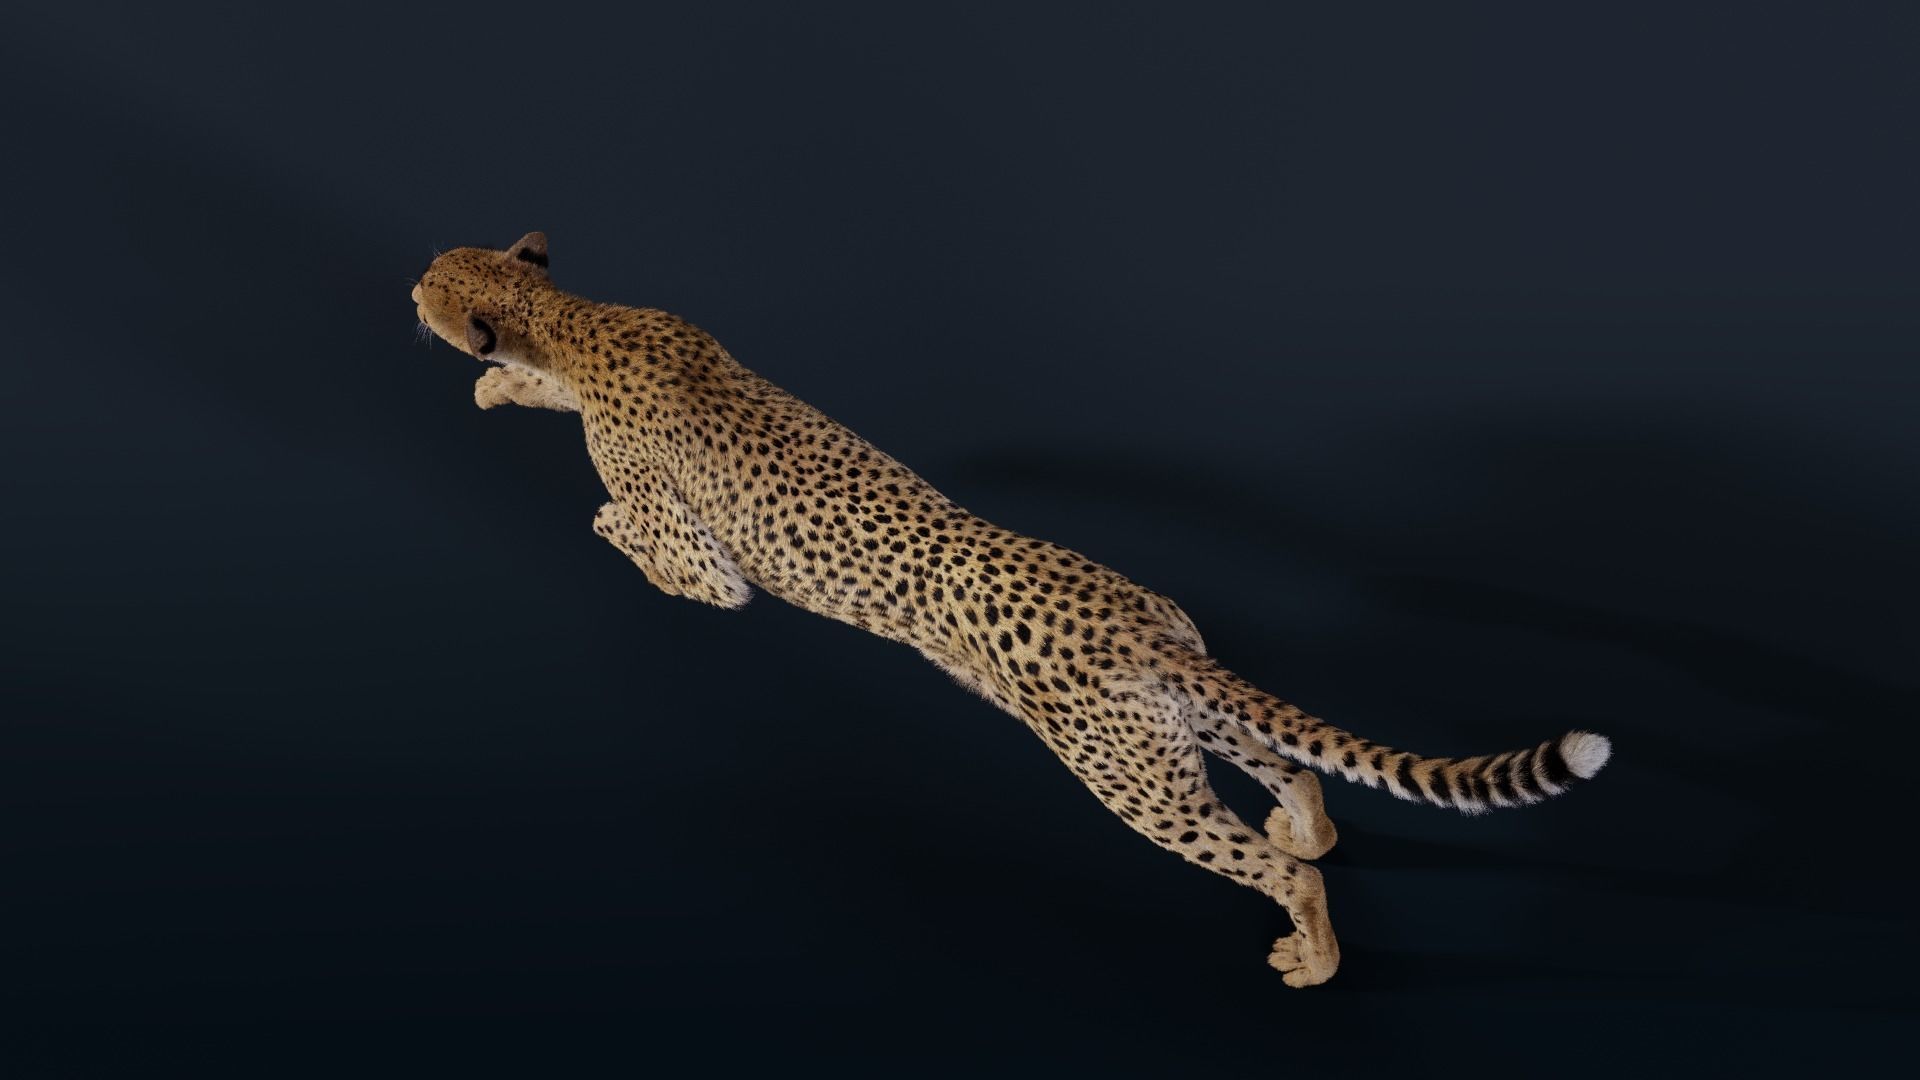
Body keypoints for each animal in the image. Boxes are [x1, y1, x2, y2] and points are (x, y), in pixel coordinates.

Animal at [410, 232, 1612, 986]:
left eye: (427, 278)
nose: (406, 287)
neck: (572, 317)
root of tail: (1131, 619)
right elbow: (536, 390)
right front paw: (499, 384)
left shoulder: (716, 573)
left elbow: (638, 535)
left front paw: (591, 505)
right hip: (1175, 724)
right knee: (1290, 763)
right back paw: (1308, 826)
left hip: (1128, 781)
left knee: (1269, 868)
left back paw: (1312, 958)